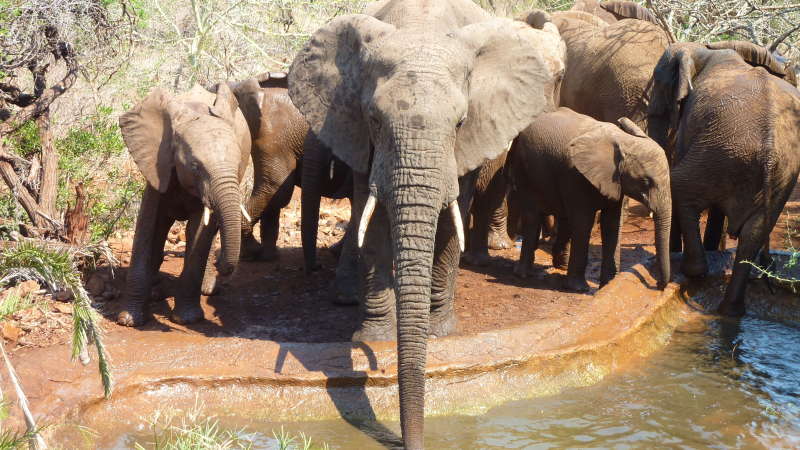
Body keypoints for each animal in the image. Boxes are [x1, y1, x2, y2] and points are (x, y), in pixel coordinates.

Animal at [117, 84, 250, 326]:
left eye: (238, 165)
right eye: (195, 166)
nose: (224, 267)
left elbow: (198, 231)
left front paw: (186, 319)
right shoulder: (158, 164)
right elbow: (148, 226)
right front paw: (128, 320)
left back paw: (207, 290)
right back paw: (156, 291)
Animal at [288, 0, 564, 447]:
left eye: (460, 122)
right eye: (374, 119)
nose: (411, 442)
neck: (420, 30)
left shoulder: (468, 142)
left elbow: (452, 219)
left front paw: (440, 331)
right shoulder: (359, 133)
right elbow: (374, 217)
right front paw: (374, 338)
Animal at [506, 107, 671, 291]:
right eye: (645, 182)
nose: (658, 285)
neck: (625, 140)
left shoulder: (615, 182)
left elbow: (612, 224)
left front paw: (608, 285)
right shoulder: (576, 175)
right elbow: (583, 223)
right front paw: (579, 288)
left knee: (564, 217)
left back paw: (561, 265)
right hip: (524, 171)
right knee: (532, 216)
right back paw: (523, 274)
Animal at [648, 42, 800, 316]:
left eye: (660, 83)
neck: (703, 51)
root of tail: (770, 153)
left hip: (722, 153)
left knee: (680, 186)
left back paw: (693, 271)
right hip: (775, 175)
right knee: (754, 234)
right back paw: (730, 311)